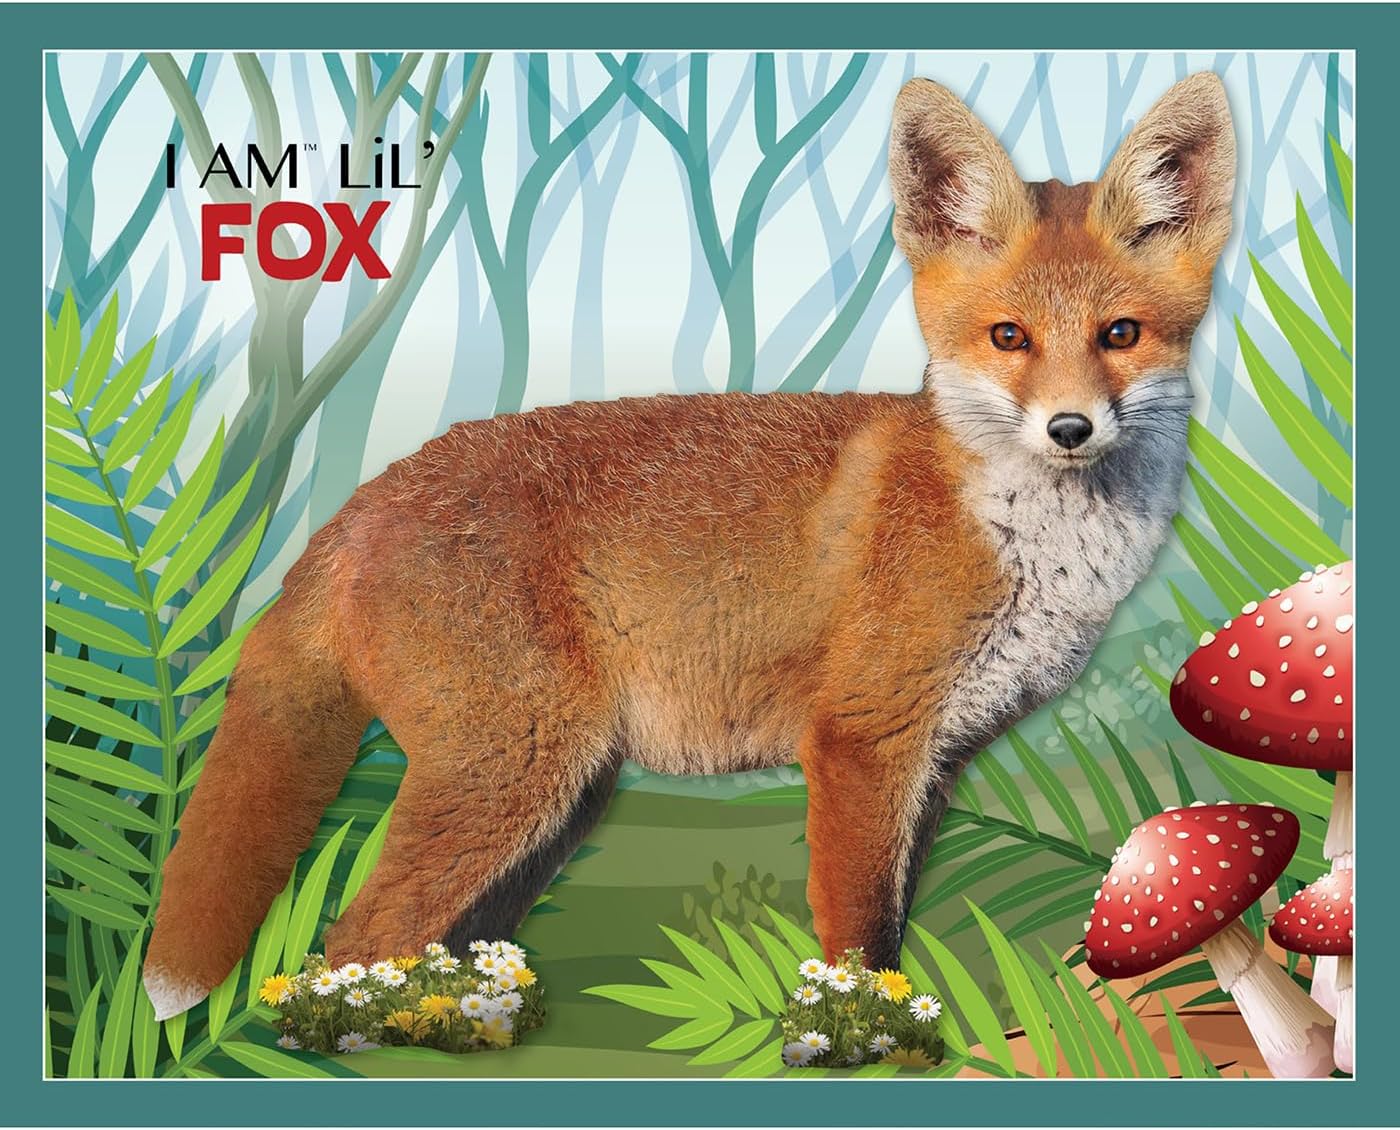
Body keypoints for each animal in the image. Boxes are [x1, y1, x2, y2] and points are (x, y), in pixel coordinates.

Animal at [143, 72, 1235, 1019]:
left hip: (557, 801)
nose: (1069, 429)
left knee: (422, 946)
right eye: (1009, 338)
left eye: (1121, 333)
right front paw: (866, 1044)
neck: (1018, 537)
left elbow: (892, 922)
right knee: (350, 946)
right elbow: (855, 938)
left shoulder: (937, 761)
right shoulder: (860, 741)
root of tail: (362, 499)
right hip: (511, 774)